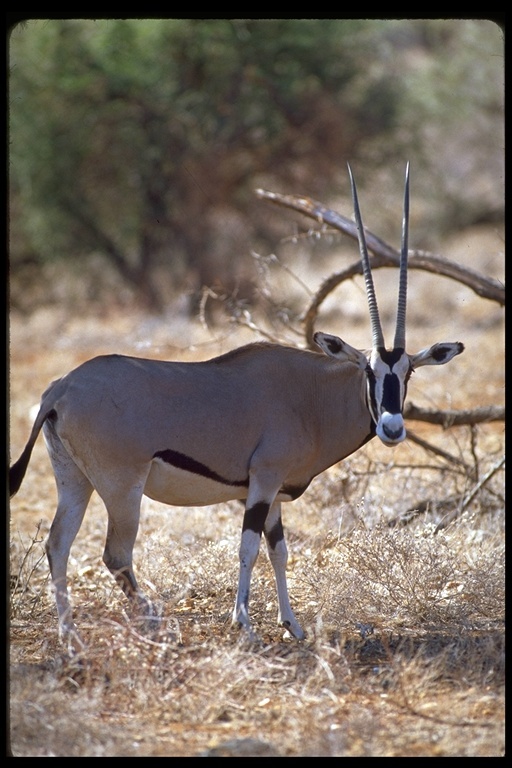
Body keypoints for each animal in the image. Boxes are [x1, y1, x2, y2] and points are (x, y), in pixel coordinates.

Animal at [8, 166, 464, 648]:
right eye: (368, 371)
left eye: (408, 373)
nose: (393, 428)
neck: (310, 396)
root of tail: (62, 387)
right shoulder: (262, 481)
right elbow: (248, 547)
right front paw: (244, 623)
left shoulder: (275, 492)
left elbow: (279, 551)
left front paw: (292, 624)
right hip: (121, 487)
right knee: (115, 554)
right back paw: (151, 622)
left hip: (73, 479)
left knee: (57, 545)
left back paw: (69, 635)